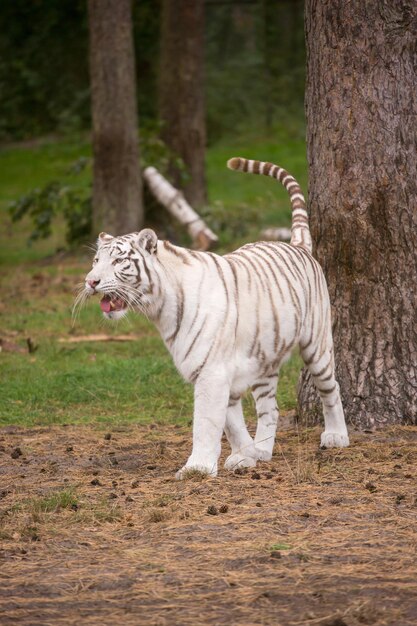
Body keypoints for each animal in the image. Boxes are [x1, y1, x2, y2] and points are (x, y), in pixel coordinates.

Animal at [80, 158, 348, 476]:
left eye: (119, 260)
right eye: (96, 260)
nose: (91, 281)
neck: (160, 309)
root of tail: (297, 244)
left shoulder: (212, 371)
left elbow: (207, 422)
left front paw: (197, 468)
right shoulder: (212, 369)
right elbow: (231, 423)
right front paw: (246, 456)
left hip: (317, 344)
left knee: (331, 388)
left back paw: (337, 436)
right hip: (264, 358)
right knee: (270, 407)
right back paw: (263, 450)